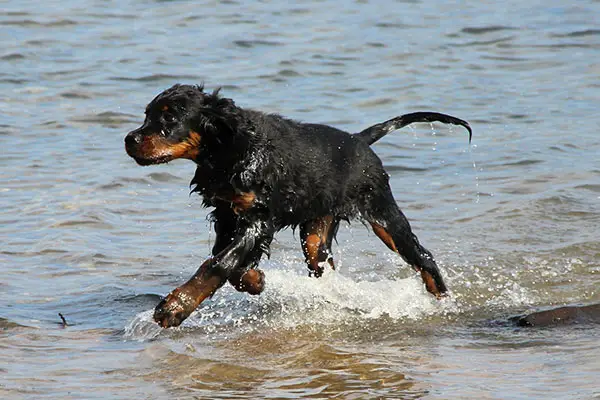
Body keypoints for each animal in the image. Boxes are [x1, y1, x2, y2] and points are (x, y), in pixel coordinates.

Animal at [125, 85, 474, 328]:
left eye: (170, 117)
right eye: (147, 115)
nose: (130, 139)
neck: (229, 151)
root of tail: (359, 140)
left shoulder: (258, 217)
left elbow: (219, 263)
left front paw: (175, 306)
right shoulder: (226, 214)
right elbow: (227, 260)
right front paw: (255, 281)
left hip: (381, 212)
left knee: (422, 256)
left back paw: (443, 299)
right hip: (317, 231)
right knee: (322, 262)